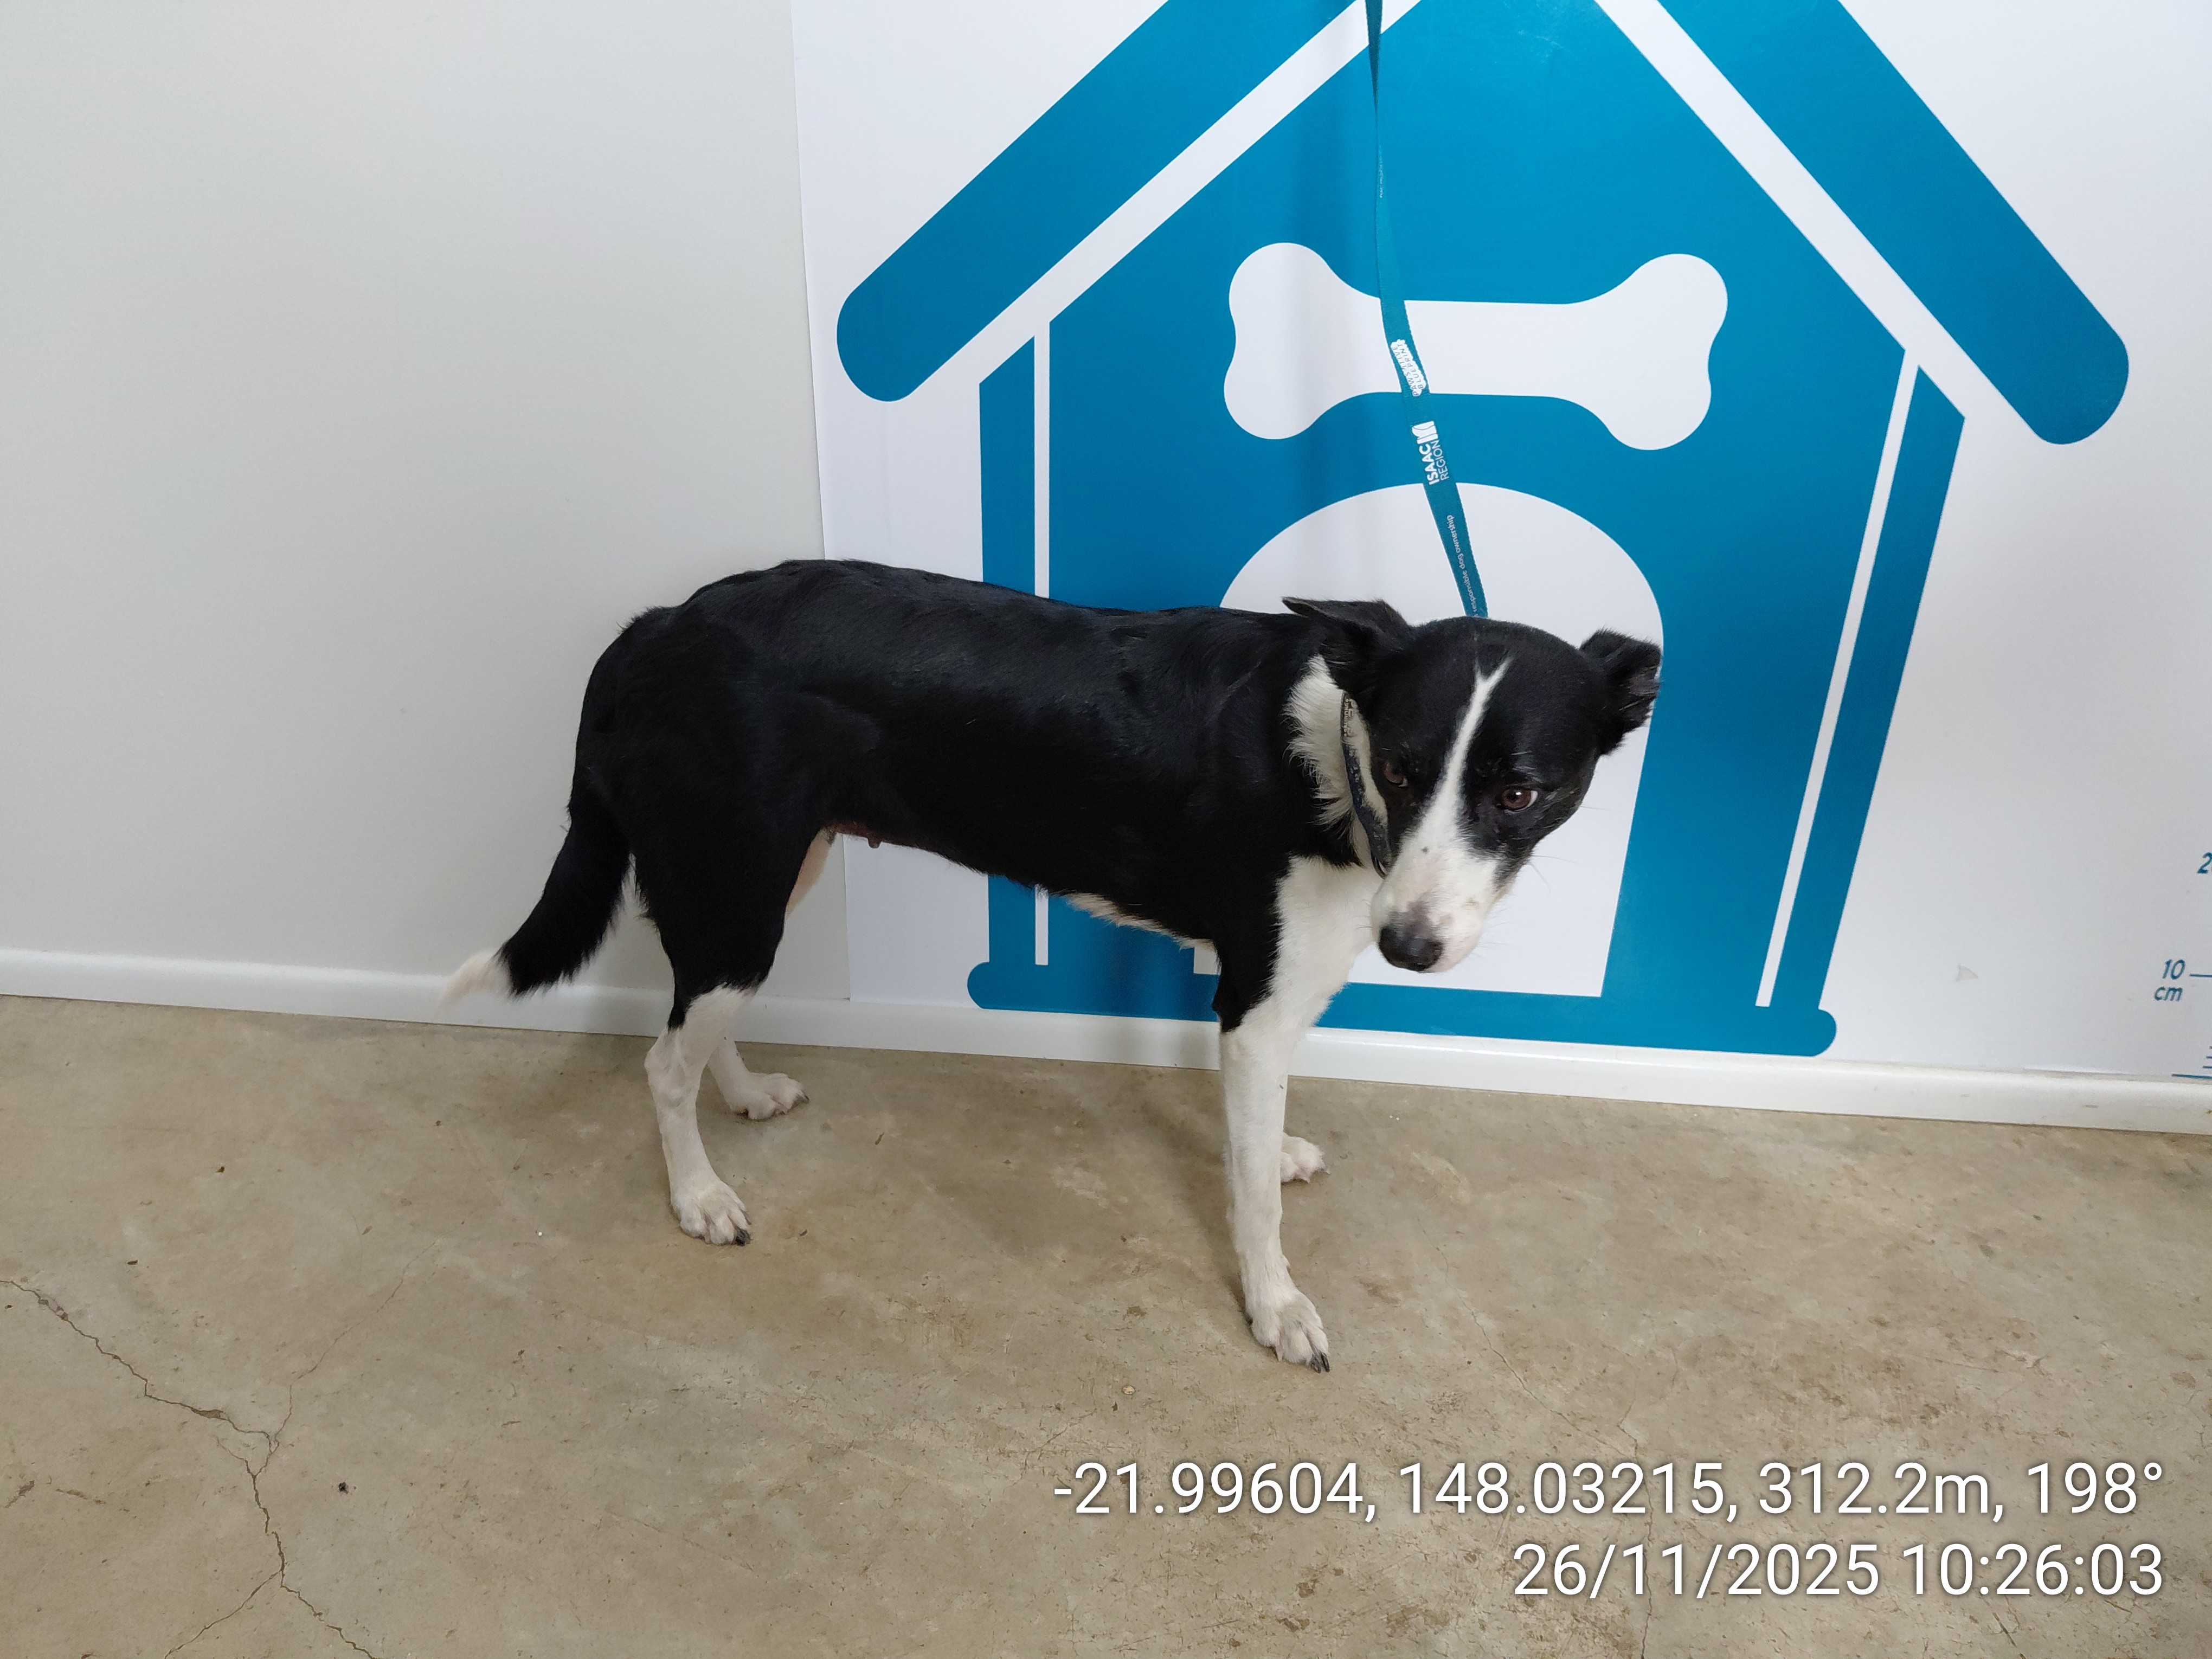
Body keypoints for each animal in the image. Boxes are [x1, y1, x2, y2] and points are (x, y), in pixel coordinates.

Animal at [444, 558, 1659, 1369]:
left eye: (1520, 791)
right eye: (1406, 771)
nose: (1409, 947)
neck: (1334, 751)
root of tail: (653, 626)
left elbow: (1249, 1142)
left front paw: (1276, 1154)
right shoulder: (1260, 1000)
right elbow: (1251, 1199)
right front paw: (1275, 1307)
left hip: (770, 873)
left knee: (697, 1018)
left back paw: (740, 1094)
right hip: (740, 881)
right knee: (662, 1061)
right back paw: (699, 1195)